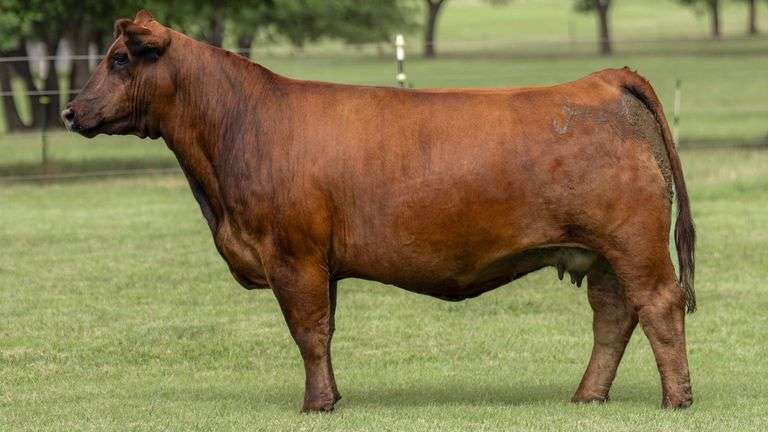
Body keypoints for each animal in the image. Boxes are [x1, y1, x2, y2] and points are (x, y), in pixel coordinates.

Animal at [62, 10, 696, 412]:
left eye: (120, 59)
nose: (69, 112)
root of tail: (603, 80)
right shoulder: (316, 262)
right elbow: (322, 331)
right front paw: (331, 396)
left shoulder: (294, 256)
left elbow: (308, 330)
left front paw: (317, 405)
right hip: (603, 252)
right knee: (613, 316)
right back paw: (588, 397)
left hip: (633, 243)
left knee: (659, 306)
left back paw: (676, 399)